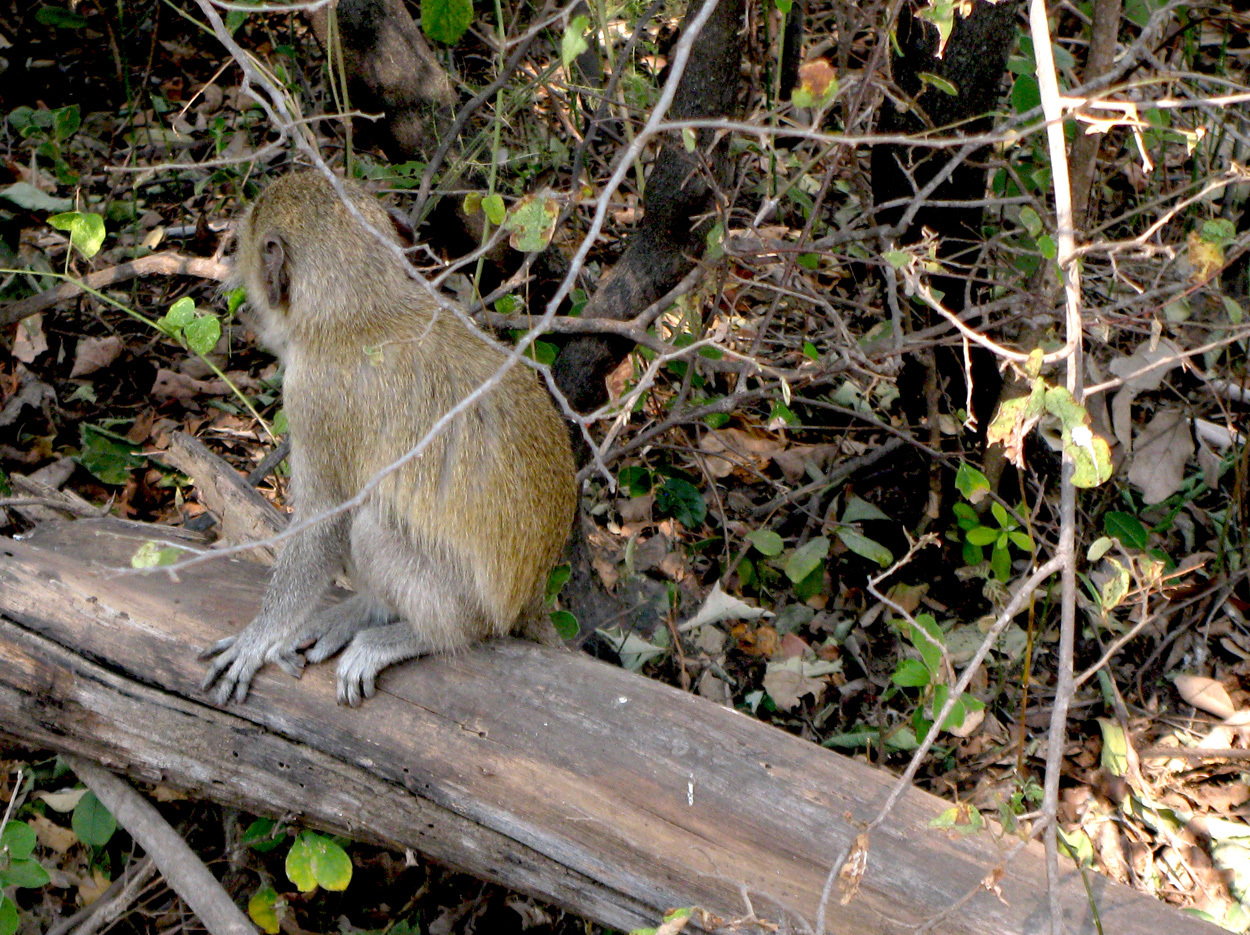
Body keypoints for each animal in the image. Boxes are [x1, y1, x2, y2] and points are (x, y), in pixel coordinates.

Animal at [202, 171, 577, 705]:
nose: (231, 273)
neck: (361, 308)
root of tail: (529, 599)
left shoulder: (314, 399)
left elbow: (324, 521)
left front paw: (258, 637)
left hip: (472, 608)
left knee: (372, 528)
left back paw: (422, 635)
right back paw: (367, 609)